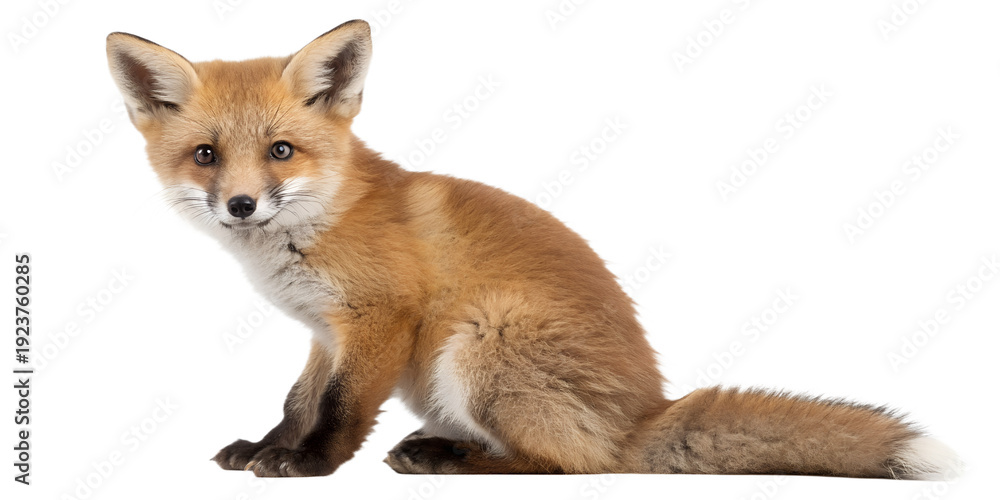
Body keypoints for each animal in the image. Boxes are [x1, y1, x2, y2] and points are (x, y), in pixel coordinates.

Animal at [105, 20, 961, 479]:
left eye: (281, 151)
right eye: (207, 156)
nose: (242, 204)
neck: (317, 226)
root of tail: (648, 413)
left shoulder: (381, 319)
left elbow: (342, 408)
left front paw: (310, 465)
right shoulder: (325, 332)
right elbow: (297, 401)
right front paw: (267, 446)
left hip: (479, 341)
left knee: (570, 465)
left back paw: (450, 461)